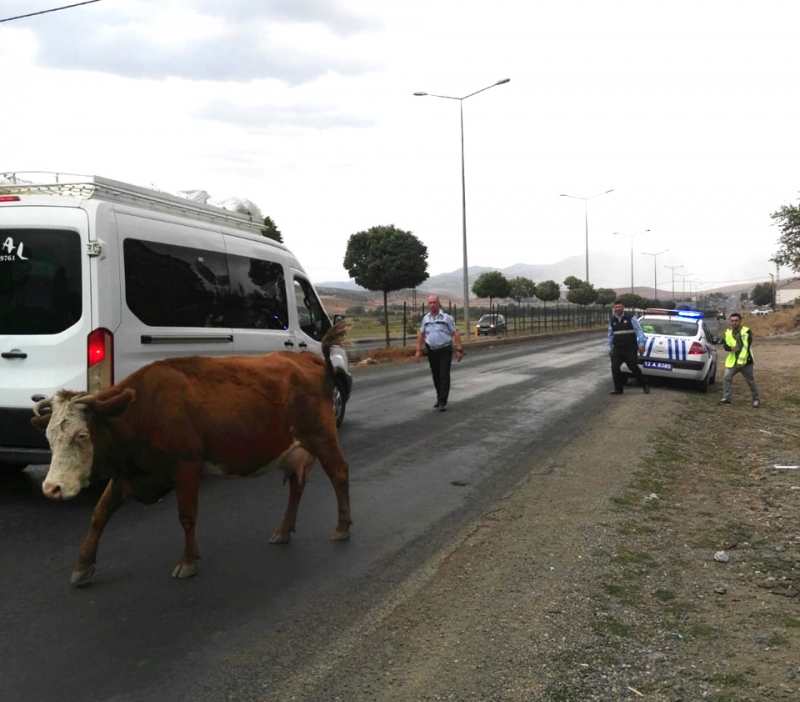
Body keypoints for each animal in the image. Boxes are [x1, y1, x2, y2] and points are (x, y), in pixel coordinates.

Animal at [33, 322, 354, 584]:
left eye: (82, 435)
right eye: (49, 439)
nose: (51, 488)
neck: (142, 409)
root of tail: (310, 360)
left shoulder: (186, 466)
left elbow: (186, 515)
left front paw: (187, 561)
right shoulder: (127, 474)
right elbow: (99, 514)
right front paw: (83, 565)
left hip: (322, 438)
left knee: (339, 474)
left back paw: (342, 527)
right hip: (294, 450)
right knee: (297, 487)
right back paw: (284, 531)